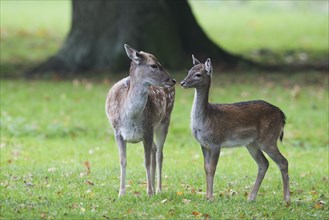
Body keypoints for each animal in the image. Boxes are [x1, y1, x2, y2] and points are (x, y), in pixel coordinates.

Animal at [179, 55, 290, 203]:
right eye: (189, 71)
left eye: (198, 74)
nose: (182, 82)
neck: (205, 119)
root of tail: (282, 115)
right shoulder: (203, 144)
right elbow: (206, 168)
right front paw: (207, 197)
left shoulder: (216, 142)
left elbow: (212, 168)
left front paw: (211, 197)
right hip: (252, 143)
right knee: (264, 163)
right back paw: (251, 197)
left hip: (269, 138)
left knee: (283, 162)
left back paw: (286, 199)